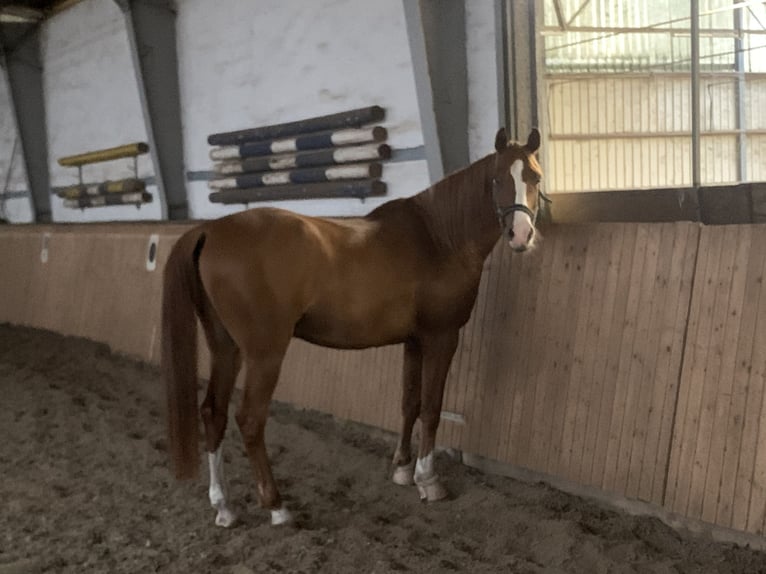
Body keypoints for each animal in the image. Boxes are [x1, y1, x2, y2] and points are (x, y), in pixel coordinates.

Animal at [162, 127, 545, 527]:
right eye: (497, 179)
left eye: (535, 178)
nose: (521, 235)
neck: (438, 237)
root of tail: (209, 230)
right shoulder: (441, 337)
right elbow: (431, 407)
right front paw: (428, 480)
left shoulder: (414, 341)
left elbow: (409, 402)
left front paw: (402, 469)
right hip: (264, 354)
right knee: (249, 419)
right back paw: (277, 506)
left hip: (225, 348)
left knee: (213, 414)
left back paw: (224, 506)